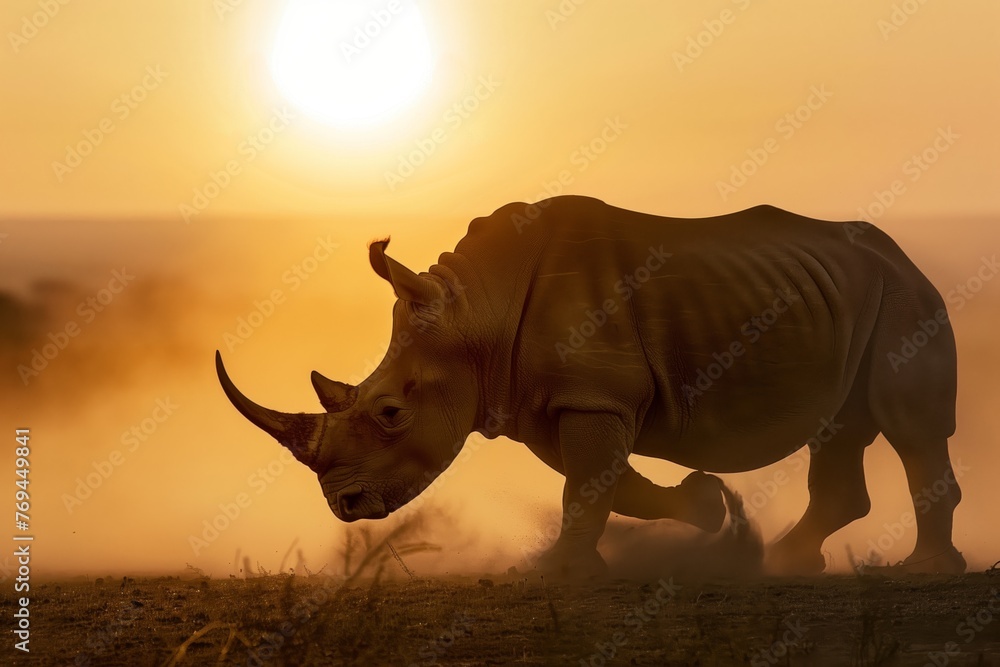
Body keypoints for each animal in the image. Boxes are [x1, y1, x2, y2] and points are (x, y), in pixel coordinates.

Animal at [217, 195, 965, 577]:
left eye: (391, 410)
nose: (344, 506)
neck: (475, 311)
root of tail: (902, 252)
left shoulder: (593, 396)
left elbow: (587, 486)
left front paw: (552, 575)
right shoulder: (555, 399)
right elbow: (604, 482)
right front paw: (704, 505)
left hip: (905, 295)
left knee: (909, 426)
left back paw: (924, 572)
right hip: (844, 295)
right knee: (840, 428)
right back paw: (787, 561)